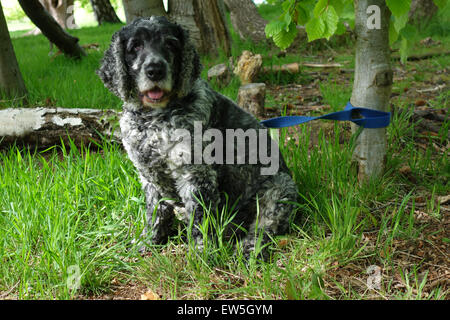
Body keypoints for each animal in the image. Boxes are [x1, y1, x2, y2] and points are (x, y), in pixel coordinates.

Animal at [96, 16, 298, 258]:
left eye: (171, 44)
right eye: (135, 46)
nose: (155, 70)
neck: (152, 119)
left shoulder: (194, 174)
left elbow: (200, 218)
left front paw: (201, 253)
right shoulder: (148, 176)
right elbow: (154, 212)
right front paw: (147, 242)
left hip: (279, 192)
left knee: (264, 227)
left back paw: (247, 249)